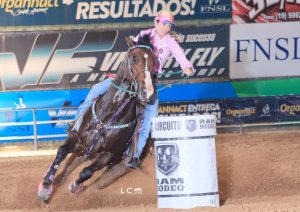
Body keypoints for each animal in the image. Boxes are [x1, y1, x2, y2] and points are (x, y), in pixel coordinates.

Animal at [37, 35, 155, 201]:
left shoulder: (107, 155)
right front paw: (46, 186)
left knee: (99, 182)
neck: (108, 116)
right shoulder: (76, 138)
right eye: (134, 58)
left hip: (119, 167)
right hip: (82, 153)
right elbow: (61, 151)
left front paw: (75, 186)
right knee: (67, 170)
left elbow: (86, 172)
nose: (147, 91)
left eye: (153, 61)